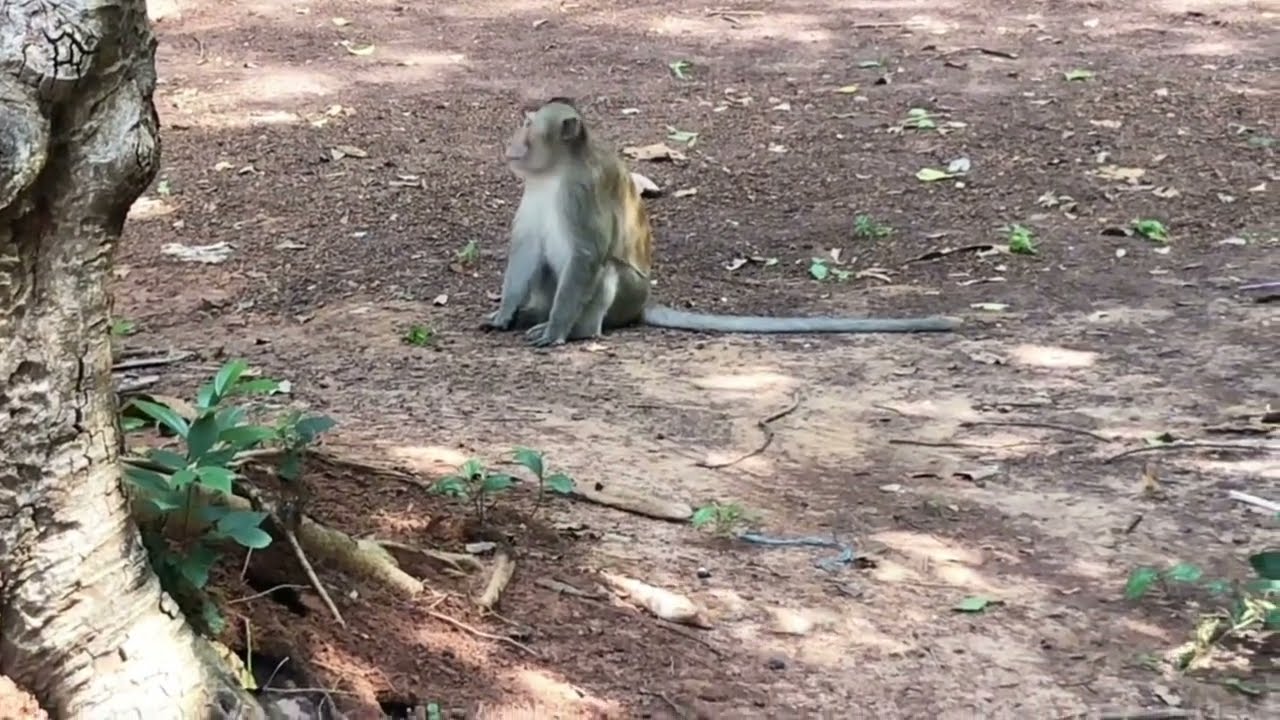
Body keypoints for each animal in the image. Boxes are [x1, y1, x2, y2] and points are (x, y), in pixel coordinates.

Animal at [482, 98, 961, 347]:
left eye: (529, 126)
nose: (511, 141)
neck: (556, 171)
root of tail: (643, 305)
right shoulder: (535, 189)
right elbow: (526, 247)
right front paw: (505, 312)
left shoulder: (581, 189)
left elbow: (587, 253)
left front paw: (556, 330)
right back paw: (532, 312)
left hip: (626, 297)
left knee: (605, 270)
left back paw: (578, 329)